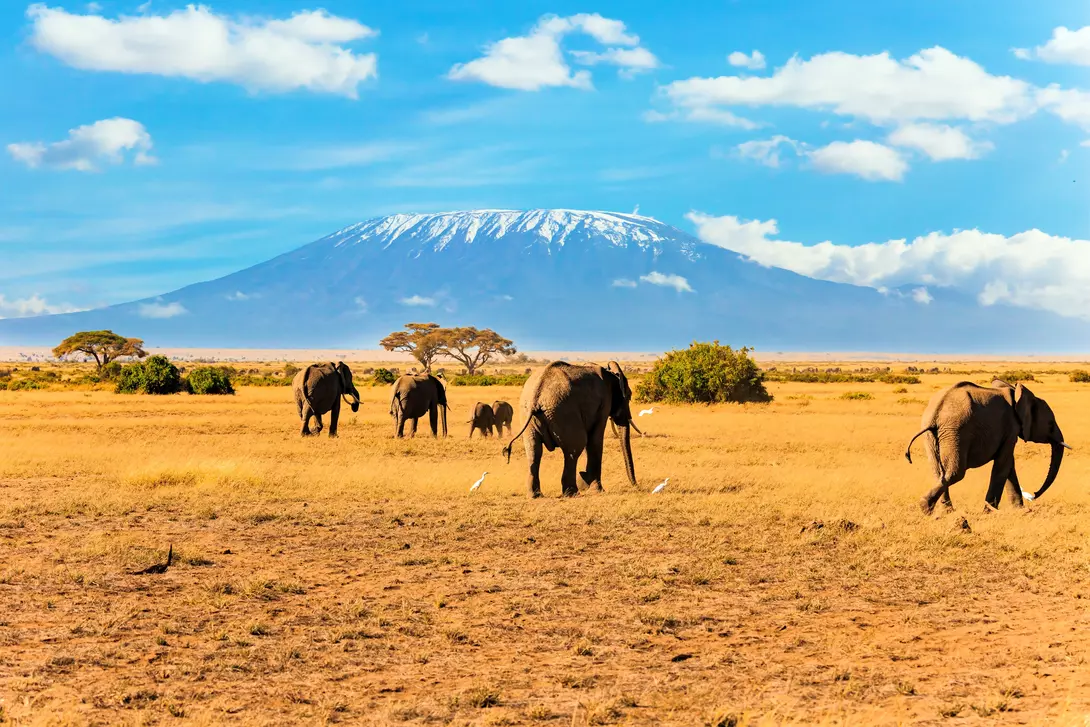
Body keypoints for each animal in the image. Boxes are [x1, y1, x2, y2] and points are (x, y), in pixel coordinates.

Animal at [502, 360, 637, 498]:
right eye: (629, 396)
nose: (635, 486)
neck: (610, 374)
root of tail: (537, 395)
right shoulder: (604, 404)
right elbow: (595, 440)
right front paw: (597, 490)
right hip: (564, 412)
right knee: (574, 448)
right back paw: (572, 493)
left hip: (528, 415)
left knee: (534, 450)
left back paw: (535, 495)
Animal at [906, 379, 1070, 514]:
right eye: (1050, 424)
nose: (1034, 494)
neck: (1015, 393)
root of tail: (936, 412)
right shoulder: (1011, 427)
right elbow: (1003, 465)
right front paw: (990, 511)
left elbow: (1009, 466)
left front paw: (1019, 510)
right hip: (956, 431)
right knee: (955, 473)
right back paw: (926, 507)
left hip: (935, 434)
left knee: (938, 472)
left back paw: (944, 511)